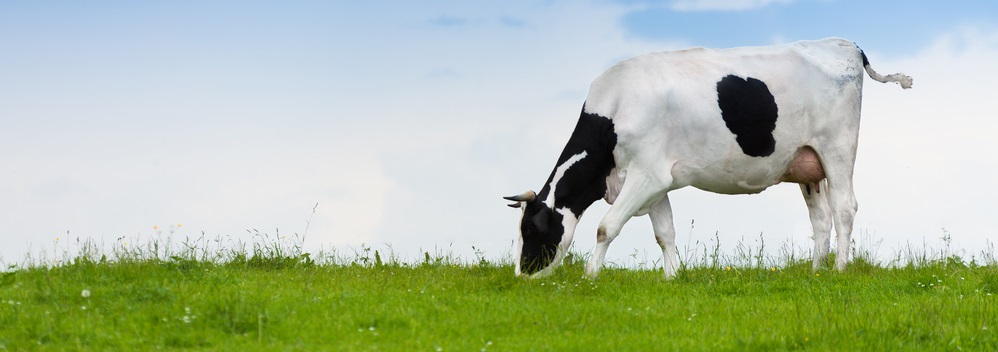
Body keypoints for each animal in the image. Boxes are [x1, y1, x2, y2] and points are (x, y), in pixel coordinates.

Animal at [508, 37, 916, 278]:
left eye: (531, 230)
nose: (522, 276)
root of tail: (846, 43)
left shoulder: (647, 174)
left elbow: (606, 227)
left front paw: (590, 277)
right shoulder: (656, 181)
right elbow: (665, 233)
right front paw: (672, 277)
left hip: (837, 148)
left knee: (845, 207)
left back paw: (840, 269)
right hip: (807, 164)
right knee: (820, 218)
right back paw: (815, 271)